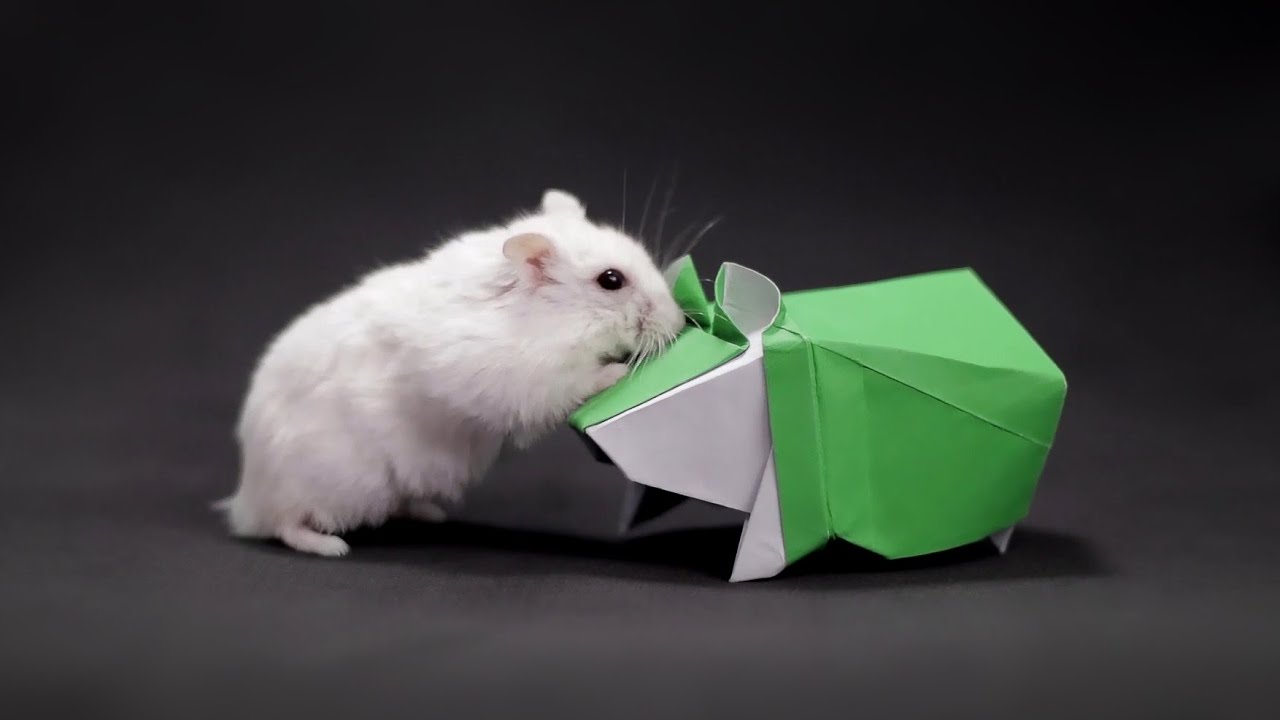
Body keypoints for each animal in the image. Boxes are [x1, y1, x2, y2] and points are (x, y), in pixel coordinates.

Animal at [215, 189, 687, 557]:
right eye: (611, 280)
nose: (681, 322)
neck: (548, 316)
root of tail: (245, 497)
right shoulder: (523, 380)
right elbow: (576, 383)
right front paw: (616, 371)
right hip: (324, 486)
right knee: (284, 524)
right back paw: (331, 546)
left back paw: (429, 513)